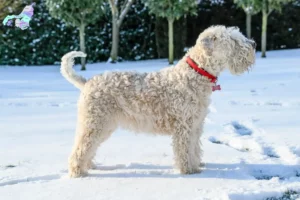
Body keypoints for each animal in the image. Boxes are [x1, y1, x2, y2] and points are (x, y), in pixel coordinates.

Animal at [61, 25, 255, 178]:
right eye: (233, 39)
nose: (253, 44)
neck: (195, 74)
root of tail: (87, 82)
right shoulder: (184, 126)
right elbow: (184, 150)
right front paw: (189, 171)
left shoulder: (195, 124)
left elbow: (194, 148)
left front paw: (197, 165)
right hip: (94, 123)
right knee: (80, 148)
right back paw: (78, 172)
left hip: (104, 125)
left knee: (88, 147)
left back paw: (89, 166)